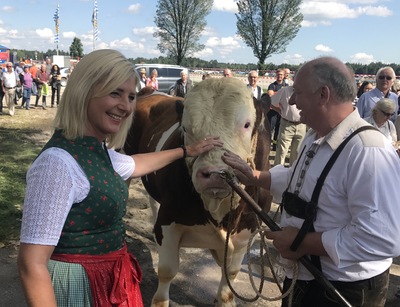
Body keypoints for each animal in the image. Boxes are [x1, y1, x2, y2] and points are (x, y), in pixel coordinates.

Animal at [124, 79, 272, 307]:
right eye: (185, 128)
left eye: (246, 124)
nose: (215, 173)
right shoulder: (169, 223)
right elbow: (167, 271)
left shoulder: (248, 232)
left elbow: (230, 278)